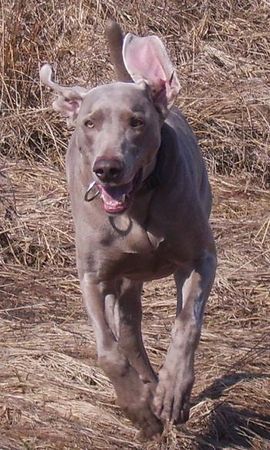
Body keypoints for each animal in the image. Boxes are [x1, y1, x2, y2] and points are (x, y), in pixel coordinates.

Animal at [40, 19, 217, 438]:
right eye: (89, 123)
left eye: (137, 122)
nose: (107, 168)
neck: (136, 206)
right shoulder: (93, 276)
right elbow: (108, 351)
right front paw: (138, 407)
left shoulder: (201, 258)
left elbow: (187, 324)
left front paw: (173, 391)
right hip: (123, 279)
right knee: (128, 332)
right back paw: (146, 387)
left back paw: (158, 385)